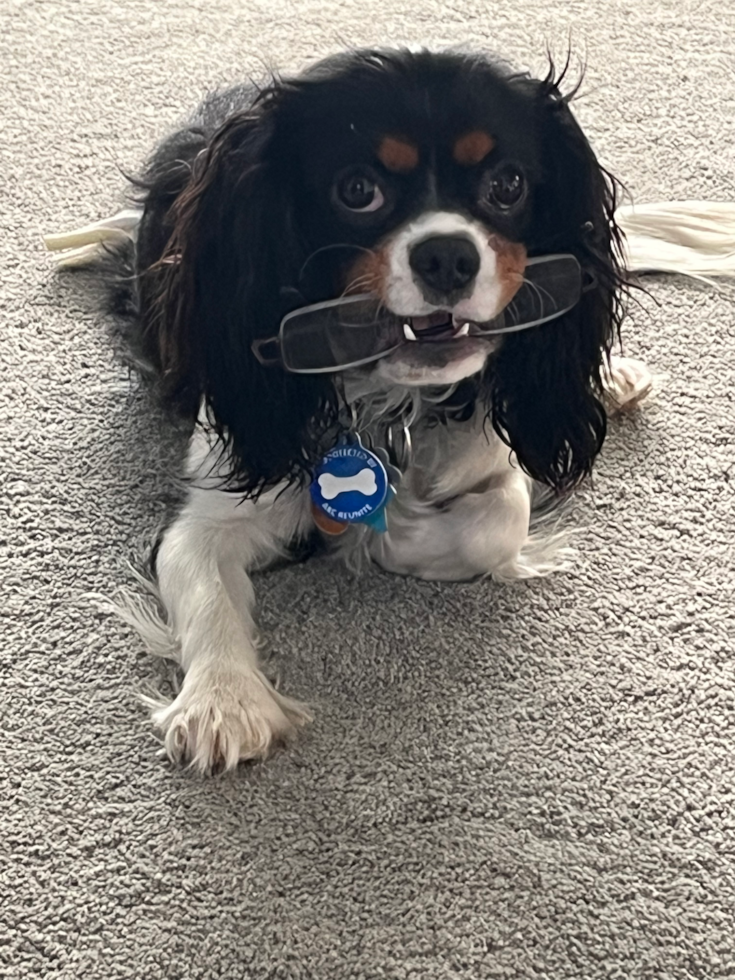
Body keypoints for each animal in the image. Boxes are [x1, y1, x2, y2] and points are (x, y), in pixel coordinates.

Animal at [49, 49, 668, 768]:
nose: (448, 254)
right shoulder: (210, 508)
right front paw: (225, 703)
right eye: (356, 191)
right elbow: (203, 584)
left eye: (508, 185)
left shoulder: (496, 466)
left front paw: (379, 532)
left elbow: (492, 524)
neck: (391, 403)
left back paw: (612, 379)